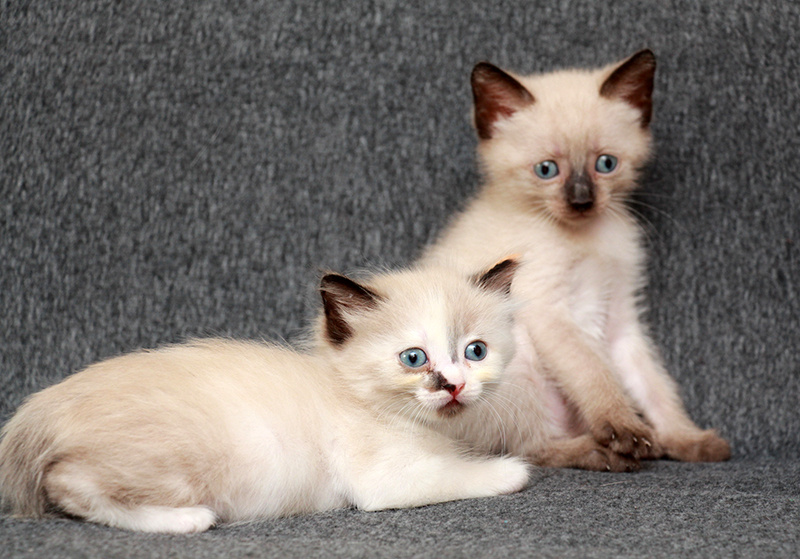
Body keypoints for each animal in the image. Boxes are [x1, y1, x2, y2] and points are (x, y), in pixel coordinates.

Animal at [0, 260, 529, 533]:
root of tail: (39, 411)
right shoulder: (385, 479)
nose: (454, 384)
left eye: (476, 351)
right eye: (414, 359)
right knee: (68, 483)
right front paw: (511, 470)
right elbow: (462, 473)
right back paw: (187, 520)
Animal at [421, 50, 731, 471]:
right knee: (530, 447)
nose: (581, 201)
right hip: (514, 346)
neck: (587, 239)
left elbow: (654, 385)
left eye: (606, 164)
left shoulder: (621, 319)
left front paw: (685, 438)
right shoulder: (547, 310)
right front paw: (625, 430)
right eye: (546, 169)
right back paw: (601, 452)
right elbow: (592, 372)